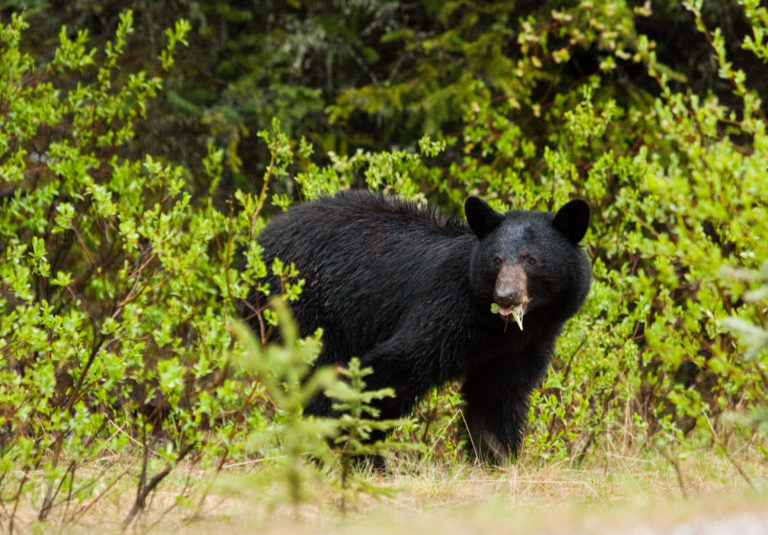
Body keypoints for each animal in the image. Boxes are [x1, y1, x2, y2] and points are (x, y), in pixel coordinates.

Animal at [249, 191, 592, 462]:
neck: (493, 327)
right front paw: (356, 449)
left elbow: (498, 396)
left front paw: (495, 459)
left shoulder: (523, 345)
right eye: (496, 259)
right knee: (316, 372)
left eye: (531, 260)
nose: (505, 296)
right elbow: (394, 366)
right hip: (301, 311)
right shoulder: (445, 307)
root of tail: (257, 243)